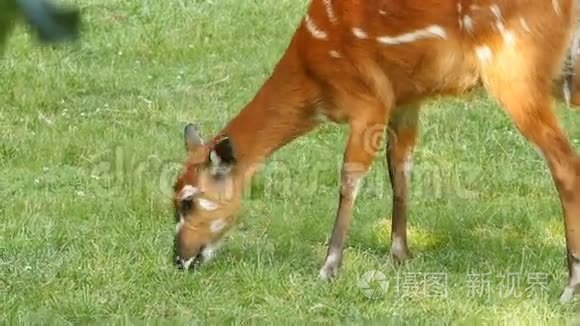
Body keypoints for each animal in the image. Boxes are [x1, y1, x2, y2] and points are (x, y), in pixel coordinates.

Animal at [171, 0, 580, 304]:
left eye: (188, 201)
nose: (179, 258)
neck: (313, 77)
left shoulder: (368, 101)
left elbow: (350, 178)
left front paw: (328, 268)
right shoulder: (405, 100)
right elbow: (400, 169)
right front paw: (399, 255)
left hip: (515, 73)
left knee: (566, 165)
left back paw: (569, 284)